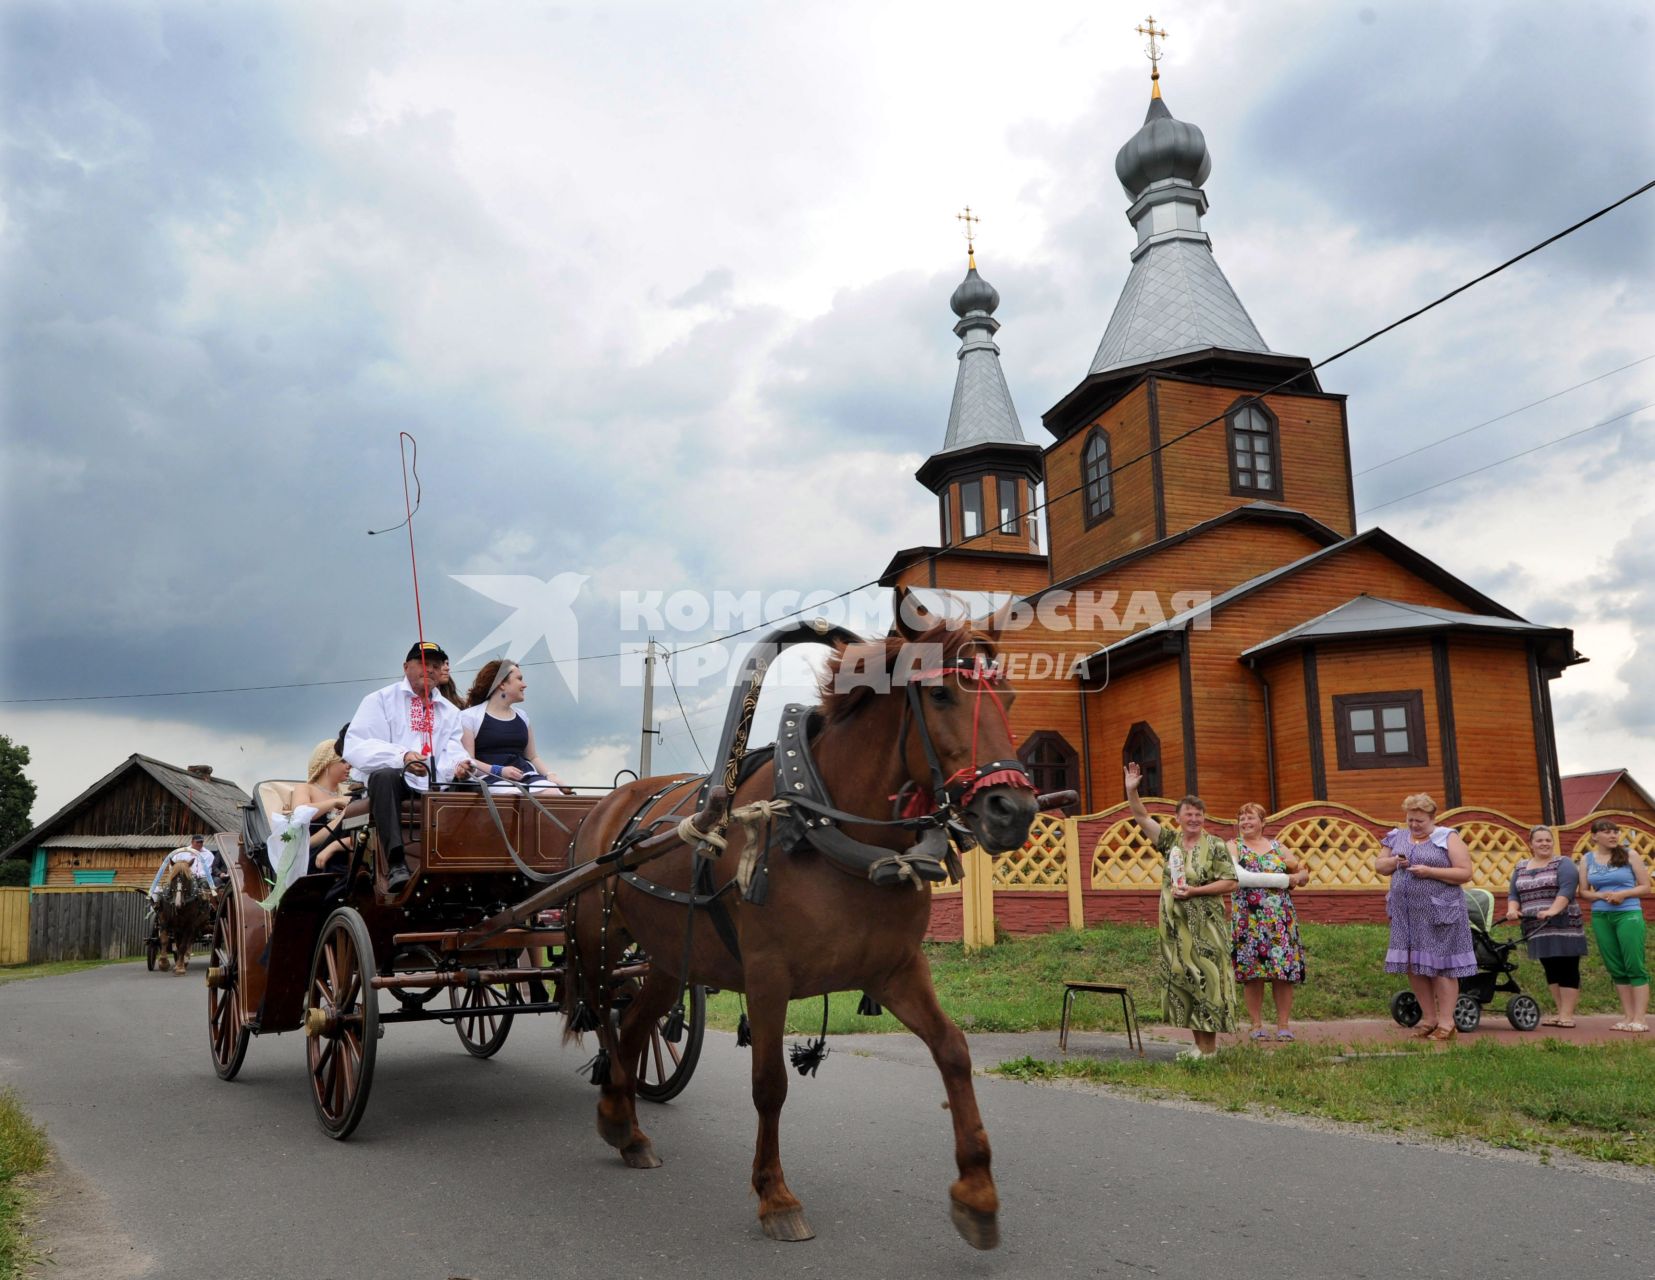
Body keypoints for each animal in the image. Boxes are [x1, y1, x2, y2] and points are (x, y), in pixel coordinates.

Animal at [566, 602, 1032, 1245]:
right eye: (939, 695)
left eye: (1008, 697)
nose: (1015, 811)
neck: (827, 825)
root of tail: (609, 803)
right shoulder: (768, 976)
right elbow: (770, 1084)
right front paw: (775, 1195)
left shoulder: (896, 969)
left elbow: (954, 1051)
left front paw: (978, 1192)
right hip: (600, 940)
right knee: (607, 1020)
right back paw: (618, 1116)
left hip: (666, 958)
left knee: (636, 1027)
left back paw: (626, 1128)